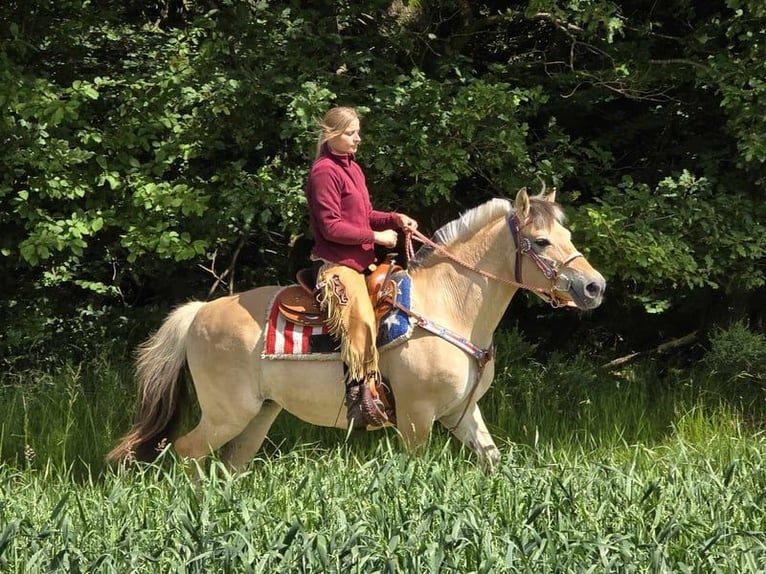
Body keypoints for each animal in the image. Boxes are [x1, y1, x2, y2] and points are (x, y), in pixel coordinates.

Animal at [109, 189, 608, 472]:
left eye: (567, 235)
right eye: (541, 241)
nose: (594, 286)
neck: (449, 306)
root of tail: (198, 313)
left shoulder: (461, 413)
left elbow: (493, 462)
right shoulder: (417, 417)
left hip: (258, 414)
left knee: (229, 463)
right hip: (226, 413)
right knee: (187, 453)